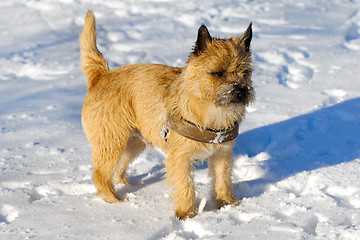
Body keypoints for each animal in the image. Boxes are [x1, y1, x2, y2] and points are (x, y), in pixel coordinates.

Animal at [80, 10, 255, 220]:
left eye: (245, 72)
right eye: (218, 73)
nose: (241, 91)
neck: (211, 113)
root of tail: (101, 75)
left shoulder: (222, 153)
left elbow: (223, 179)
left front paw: (227, 203)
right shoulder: (180, 157)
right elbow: (186, 185)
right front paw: (186, 213)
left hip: (133, 142)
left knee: (117, 169)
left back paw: (128, 186)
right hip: (112, 141)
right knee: (100, 174)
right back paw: (114, 200)